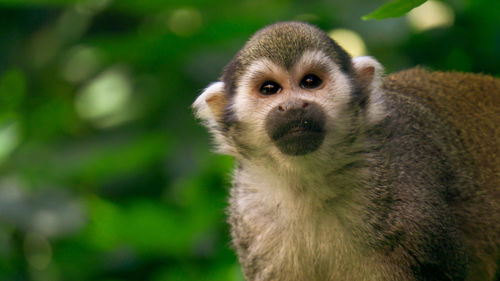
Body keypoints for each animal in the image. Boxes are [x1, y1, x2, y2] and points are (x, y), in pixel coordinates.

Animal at [192, 22, 500, 280]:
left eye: (310, 82)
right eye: (269, 89)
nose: (293, 106)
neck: (309, 182)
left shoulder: (408, 172)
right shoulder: (249, 212)